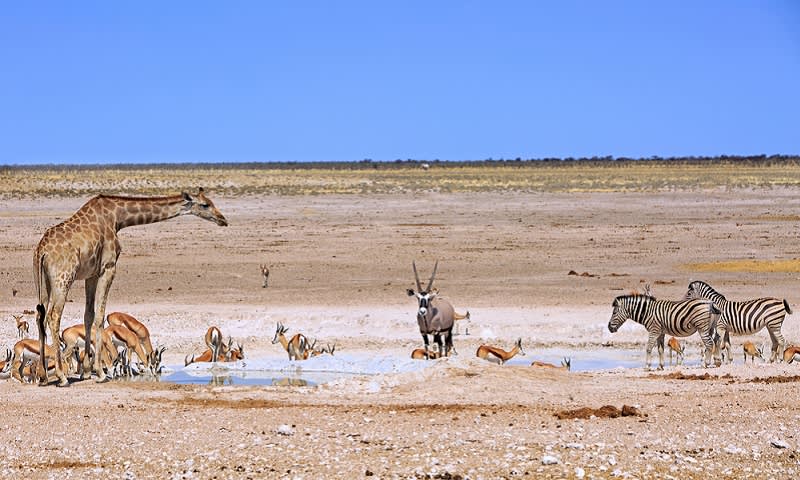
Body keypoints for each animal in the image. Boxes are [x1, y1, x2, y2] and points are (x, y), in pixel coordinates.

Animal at [33, 188, 228, 386]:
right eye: (205, 205)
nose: (223, 219)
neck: (117, 218)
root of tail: (41, 251)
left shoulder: (92, 274)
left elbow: (89, 315)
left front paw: (87, 372)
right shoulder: (108, 267)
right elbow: (100, 316)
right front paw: (100, 373)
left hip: (45, 281)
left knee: (40, 316)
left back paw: (43, 376)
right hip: (63, 279)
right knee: (54, 316)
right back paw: (62, 377)